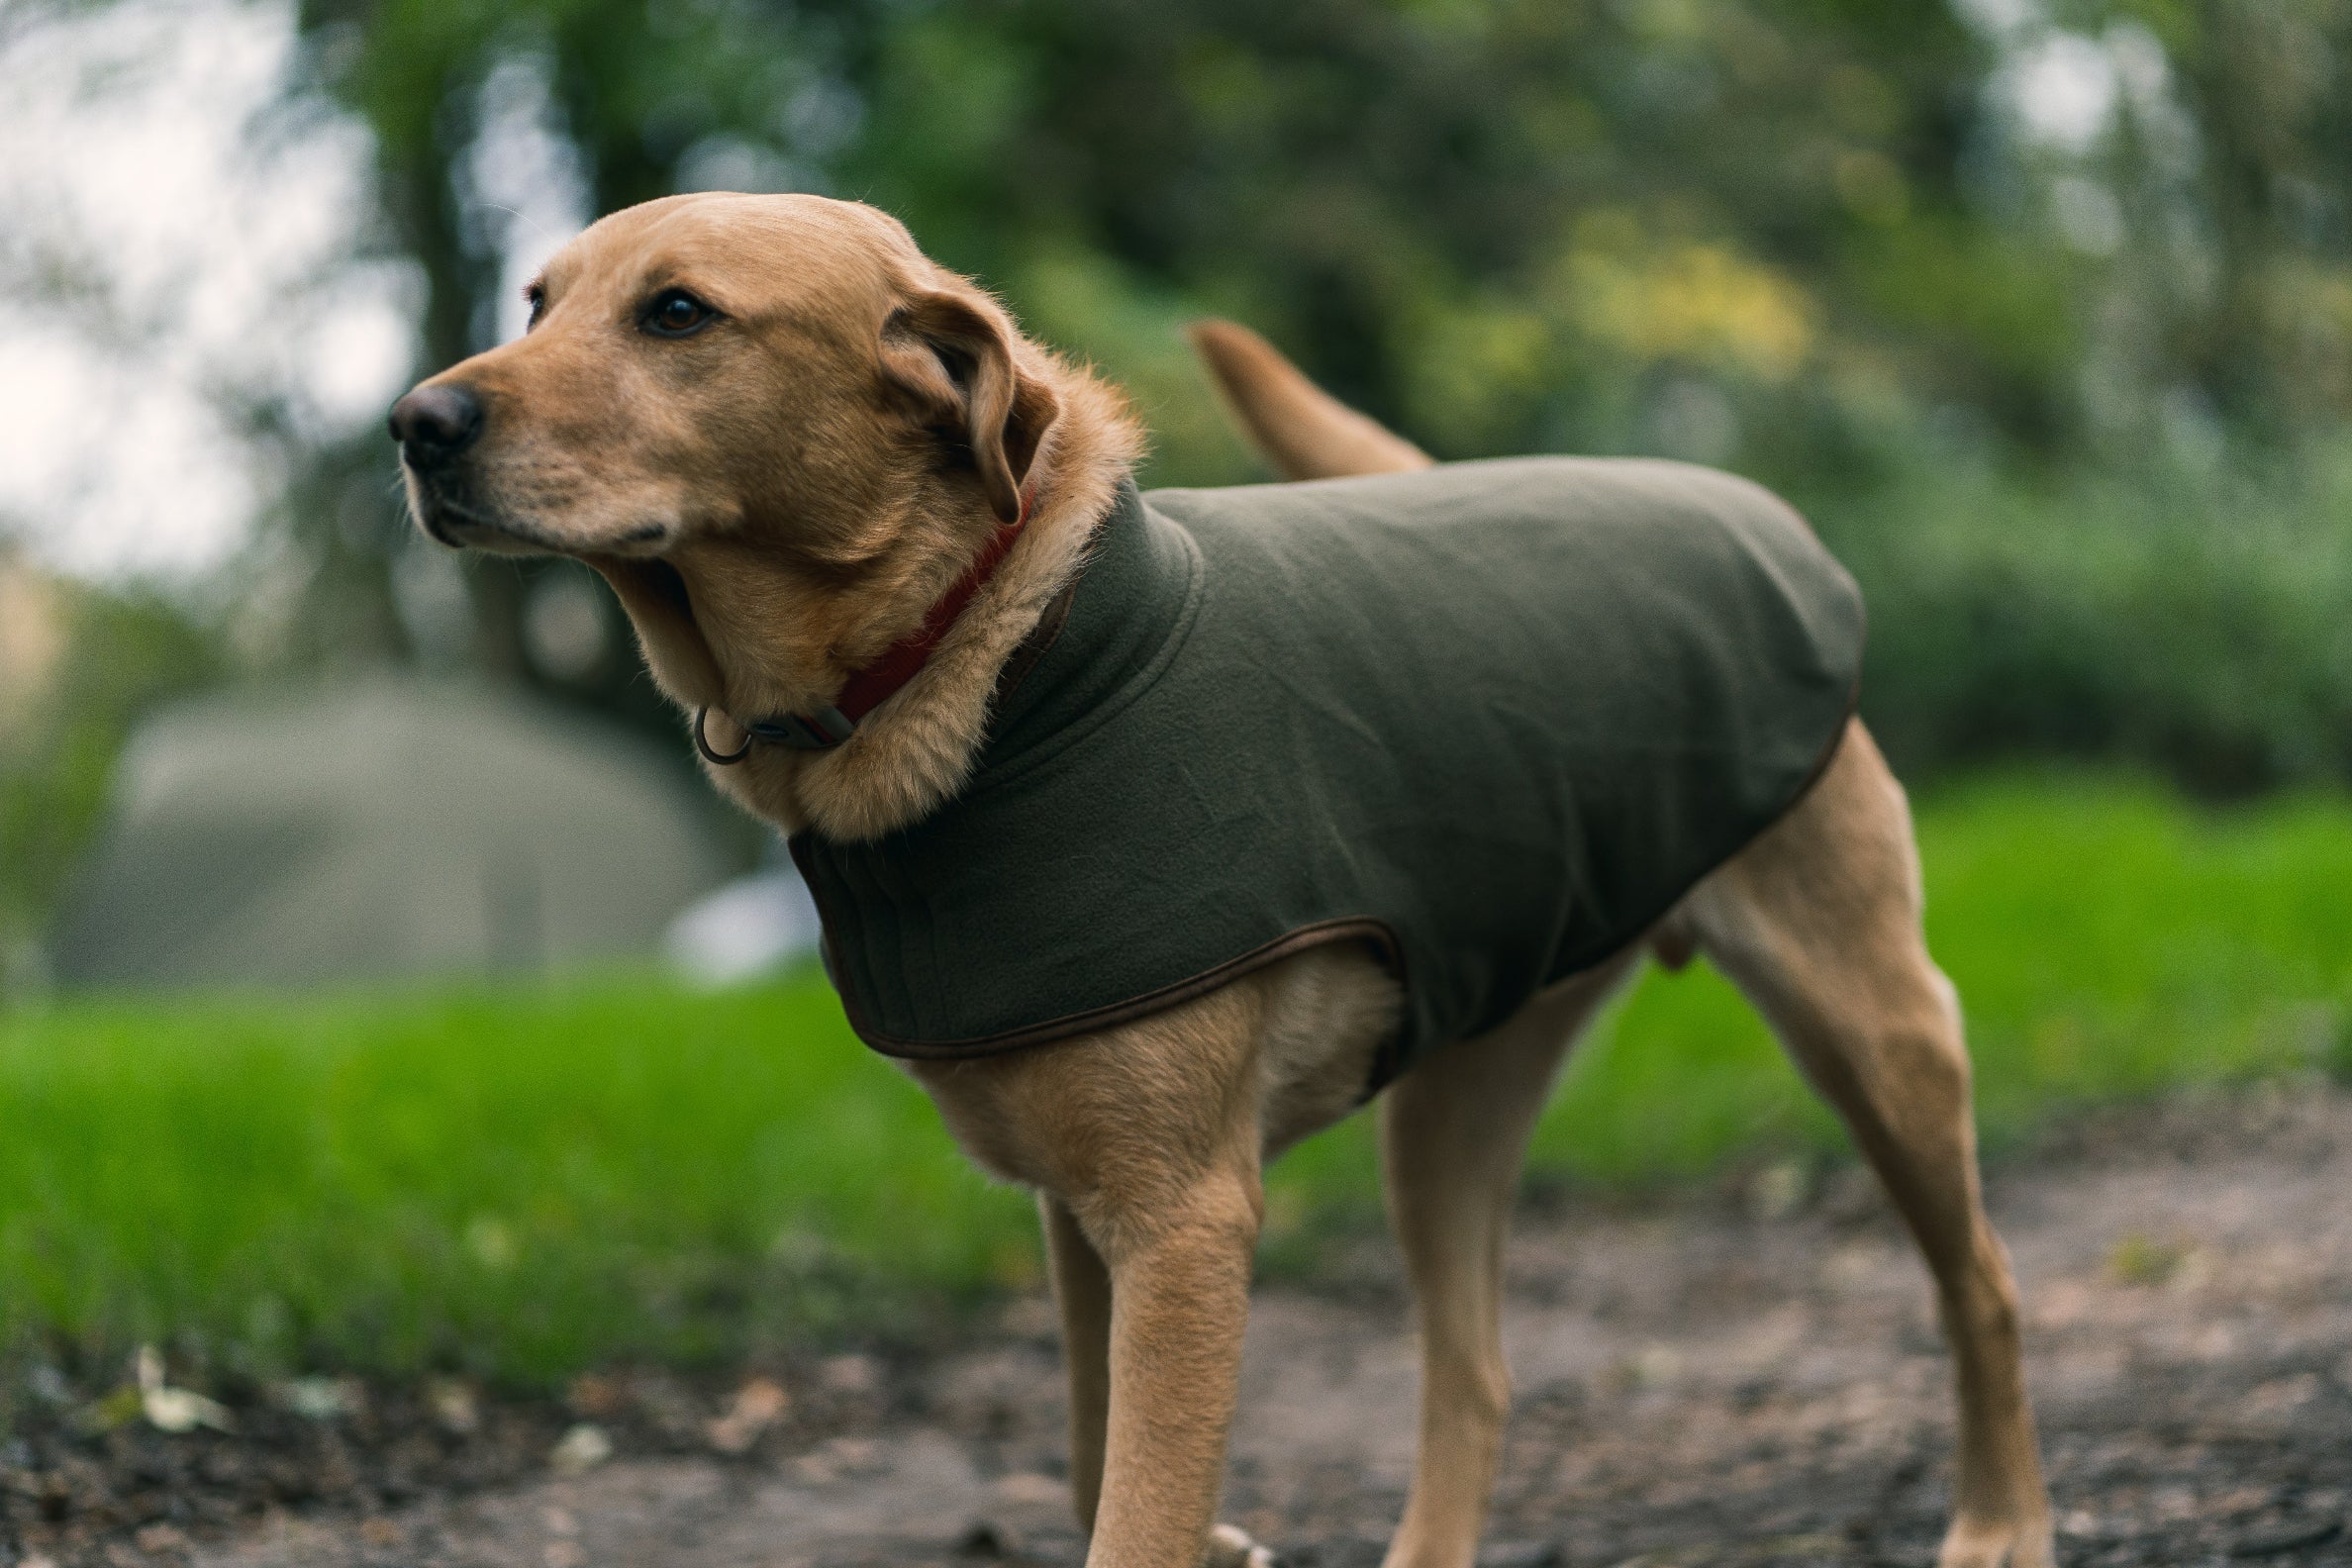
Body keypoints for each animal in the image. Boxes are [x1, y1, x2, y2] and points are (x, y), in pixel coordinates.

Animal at [399, 192, 2060, 1568]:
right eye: (537, 301)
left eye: (677, 313)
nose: (417, 422)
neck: (996, 646)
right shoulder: (1082, 1218)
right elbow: (1095, 1469)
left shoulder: (1182, 1226)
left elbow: (1132, 1512)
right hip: (1451, 1105)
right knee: (1476, 1375)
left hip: (1876, 1029)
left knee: (1982, 1287)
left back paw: (2001, 1523)